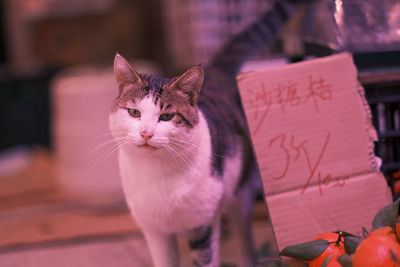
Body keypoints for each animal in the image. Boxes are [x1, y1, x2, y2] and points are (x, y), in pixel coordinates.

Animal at [109, 1, 304, 266]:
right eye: (133, 112)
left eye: (166, 117)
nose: (147, 133)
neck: (157, 172)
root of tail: (217, 72)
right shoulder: (155, 231)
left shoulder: (202, 225)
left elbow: (206, 259)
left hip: (240, 191)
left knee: (244, 235)